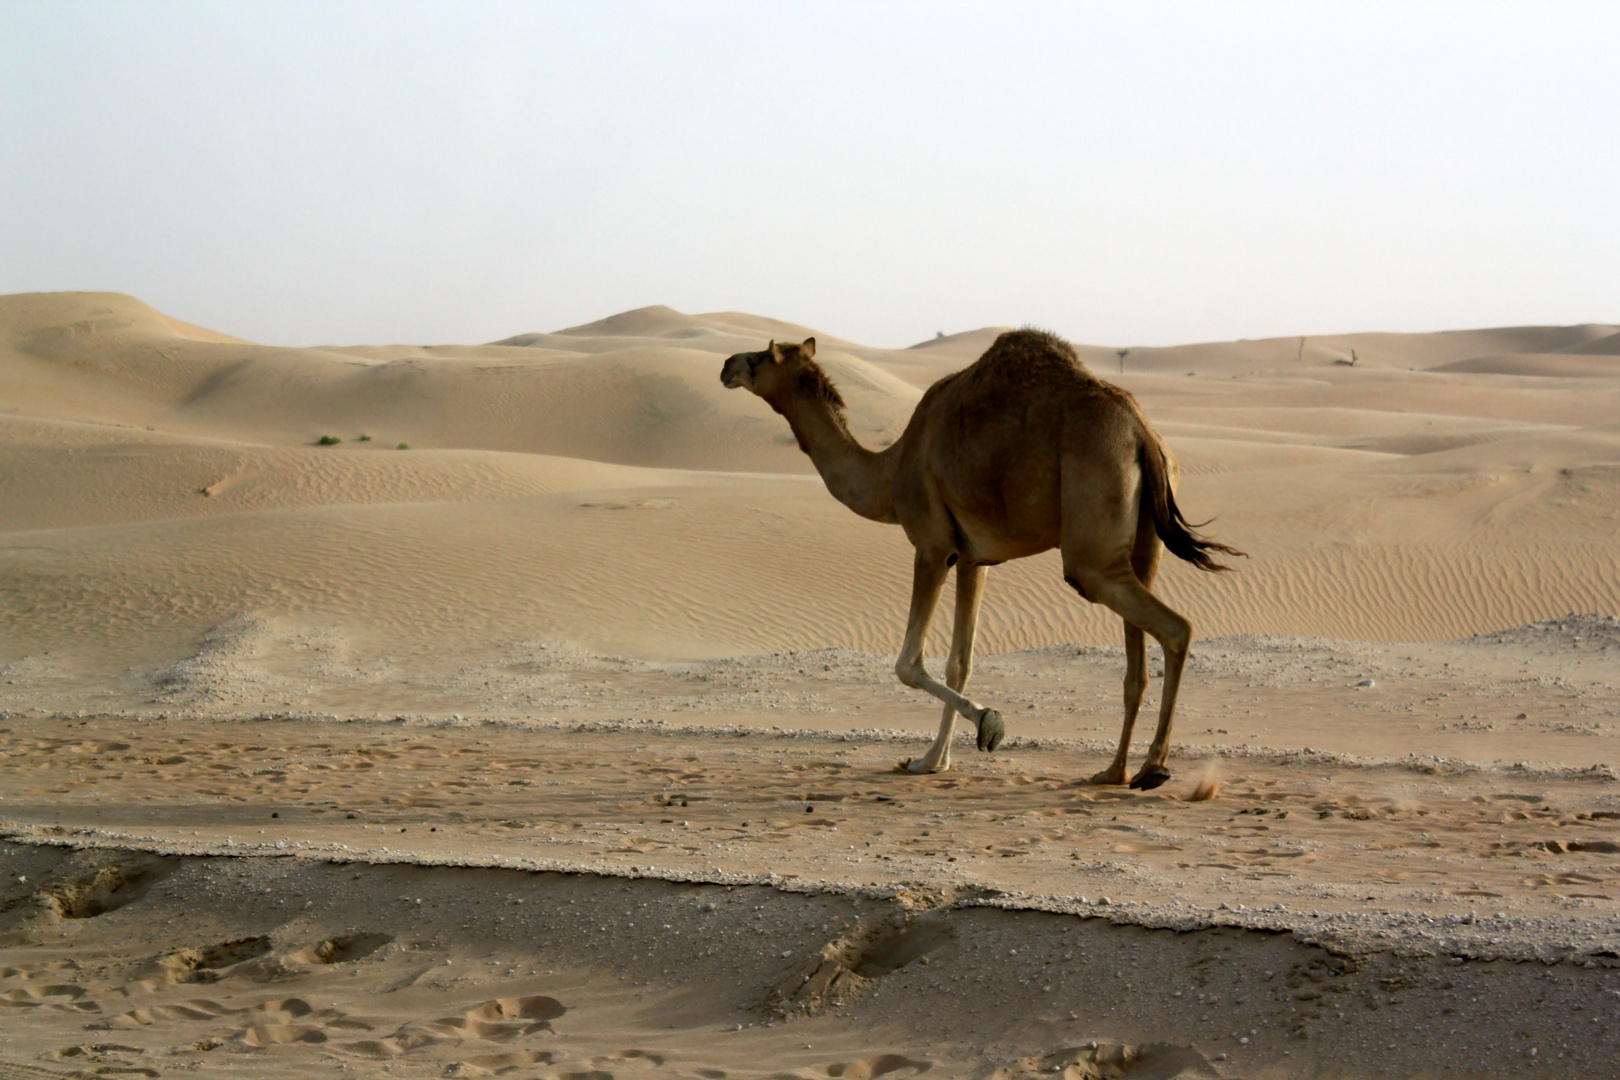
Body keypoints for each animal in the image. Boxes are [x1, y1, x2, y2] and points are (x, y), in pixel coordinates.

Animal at [719, 327, 1237, 786]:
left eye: (761, 357)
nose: (726, 365)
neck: (890, 471)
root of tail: (1142, 433)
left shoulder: (931, 544)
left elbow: (908, 662)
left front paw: (987, 725)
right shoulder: (973, 559)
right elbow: (959, 661)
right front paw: (934, 761)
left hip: (1093, 544)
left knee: (1175, 627)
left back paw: (1153, 768)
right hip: (1141, 545)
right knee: (1139, 659)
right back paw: (1114, 772)